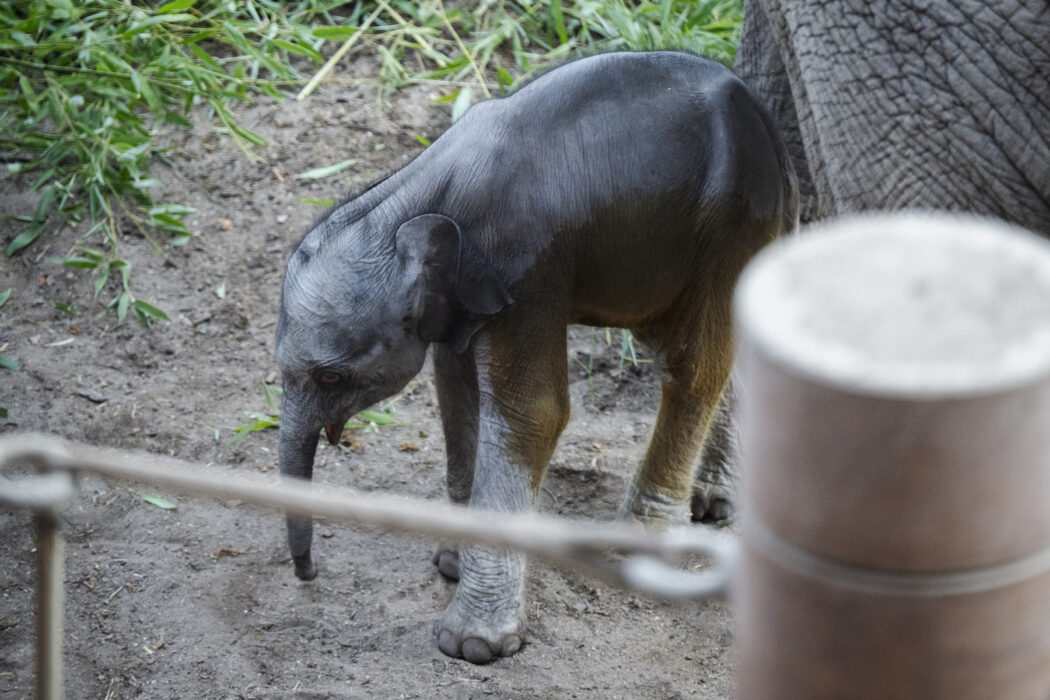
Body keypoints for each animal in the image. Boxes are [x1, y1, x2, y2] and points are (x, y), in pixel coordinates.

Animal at [274, 50, 797, 664]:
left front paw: (473, 646)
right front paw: (451, 563)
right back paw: (714, 502)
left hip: (731, 221)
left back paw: (642, 550)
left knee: (693, 366)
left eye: (332, 376)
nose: (309, 576)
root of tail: (767, 127)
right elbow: (456, 394)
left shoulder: (525, 267)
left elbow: (533, 411)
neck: (416, 192)